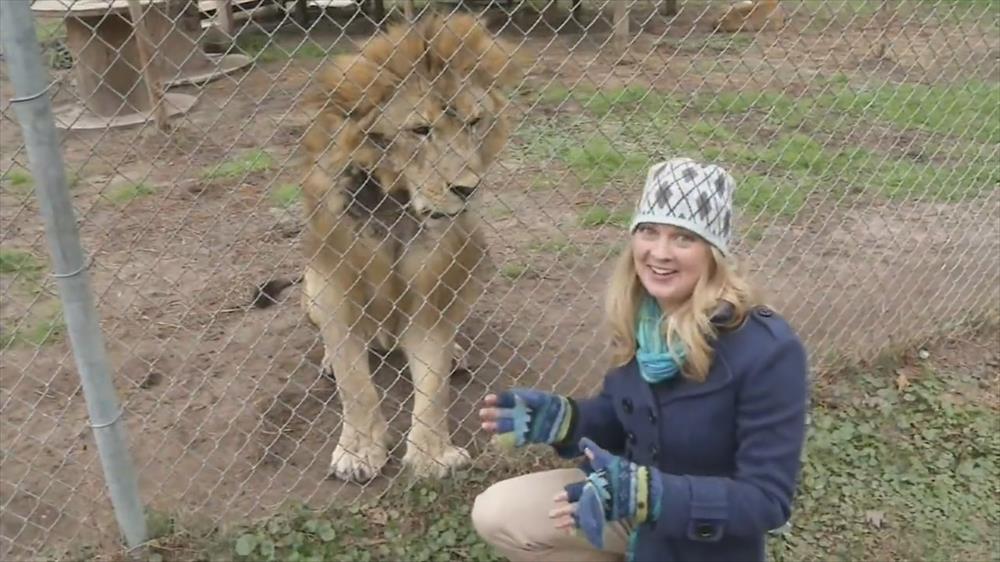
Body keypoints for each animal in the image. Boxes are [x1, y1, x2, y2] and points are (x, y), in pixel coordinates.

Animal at [292, 13, 520, 480]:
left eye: (474, 122)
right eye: (420, 130)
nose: (468, 188)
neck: (397, 206)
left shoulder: (434, 289)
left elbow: (433, 386)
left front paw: (432, 455)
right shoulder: (333, 283)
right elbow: (355, 384)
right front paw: (359, 452)